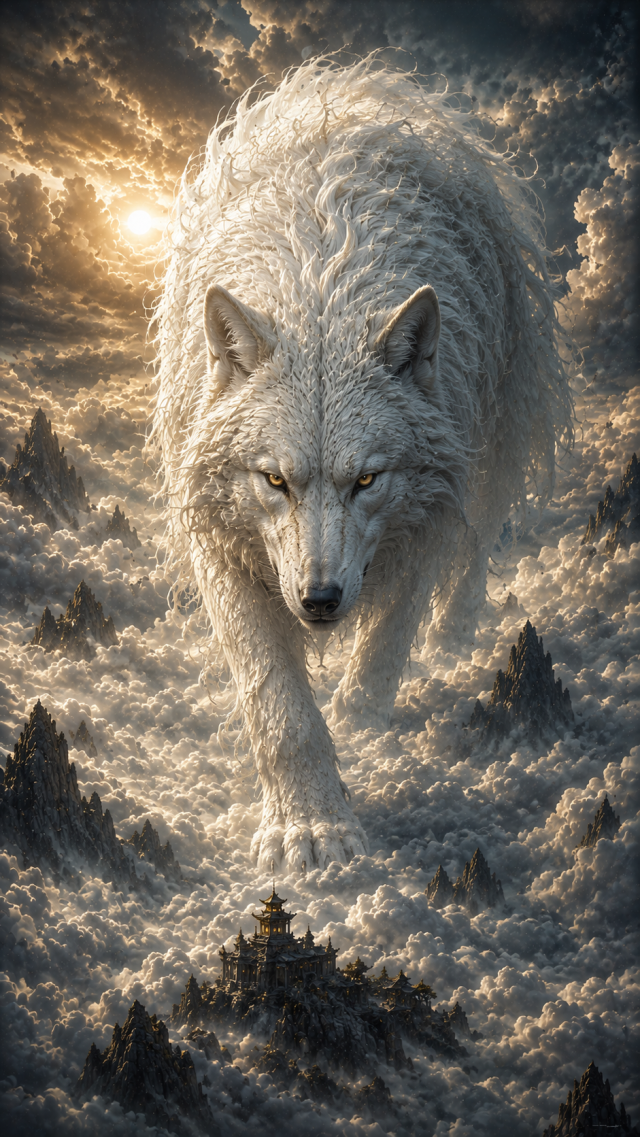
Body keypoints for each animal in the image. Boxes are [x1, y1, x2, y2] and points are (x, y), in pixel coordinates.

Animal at [153, 57, 572, 870]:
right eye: (275, 480)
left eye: (367, 480)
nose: (319, 599)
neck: (317, 290)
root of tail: (359, 85)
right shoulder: (220, 540)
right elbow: (279, 706)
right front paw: (308, 826)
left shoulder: (424, 516)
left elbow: (381, 651)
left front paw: (362, 736)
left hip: (493, 437)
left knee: (478, 541)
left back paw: (453, 633)